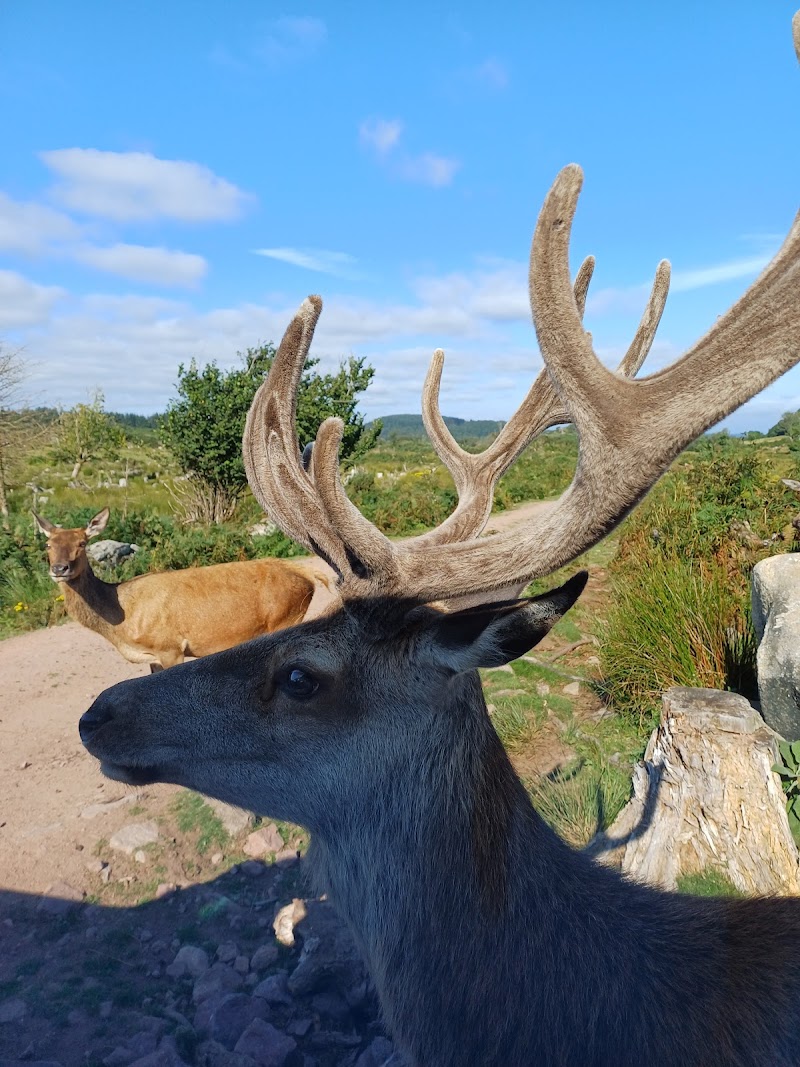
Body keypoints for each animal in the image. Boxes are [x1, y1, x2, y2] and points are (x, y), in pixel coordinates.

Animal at [34, 507, 322, 670]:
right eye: (48, 545)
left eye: (82, 543)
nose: (60, 568)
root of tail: (307, 576)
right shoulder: (151, 656)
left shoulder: (169, 646)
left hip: (285, 619)